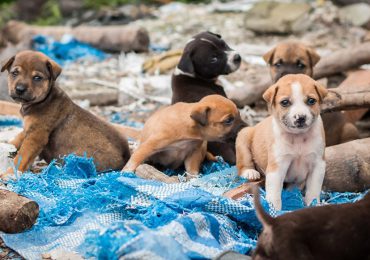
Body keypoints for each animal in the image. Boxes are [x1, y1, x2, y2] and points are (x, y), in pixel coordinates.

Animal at [0, 49, 130, 178]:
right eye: (15, 73)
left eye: (37, 77)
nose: (19, 89)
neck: (44, 100)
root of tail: (126, 156)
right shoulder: (29, 129)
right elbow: (18, 138)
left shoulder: (36, 136)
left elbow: (21, 157)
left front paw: (10, 173)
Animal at [236, 74, 328, 210]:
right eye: (285, 102)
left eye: (311, 101)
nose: (301, 117)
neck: (298, 137)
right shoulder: (277, 167)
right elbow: (274, 194)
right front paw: (274, 210)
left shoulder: (317, 165)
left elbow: (313, 191)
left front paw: (313, 204)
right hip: (244, 136)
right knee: (243, 163)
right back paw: (250, 172)